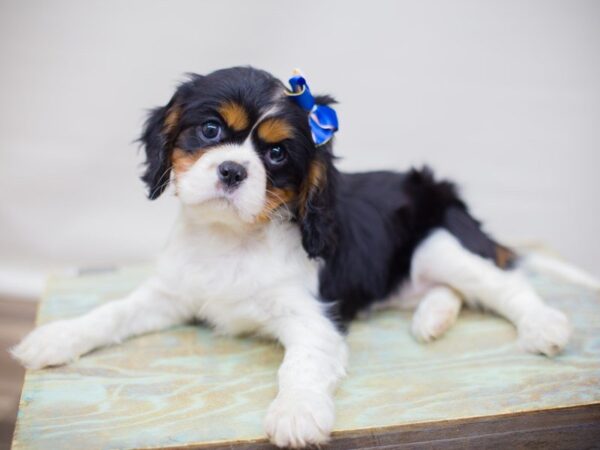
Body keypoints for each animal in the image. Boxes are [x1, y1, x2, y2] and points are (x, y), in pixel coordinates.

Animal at [14, 66, 572, 446]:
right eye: (210, 130)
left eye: (277, 154)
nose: (233, 171)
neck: (233, 239)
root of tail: (447, 194)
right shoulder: (169, 294)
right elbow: (112, 312)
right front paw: (55, 337)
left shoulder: (312, 319)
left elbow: (299, 365)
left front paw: (296, 413)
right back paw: (431, 318)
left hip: (440, 244)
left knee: (504, 283)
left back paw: (543, 325)